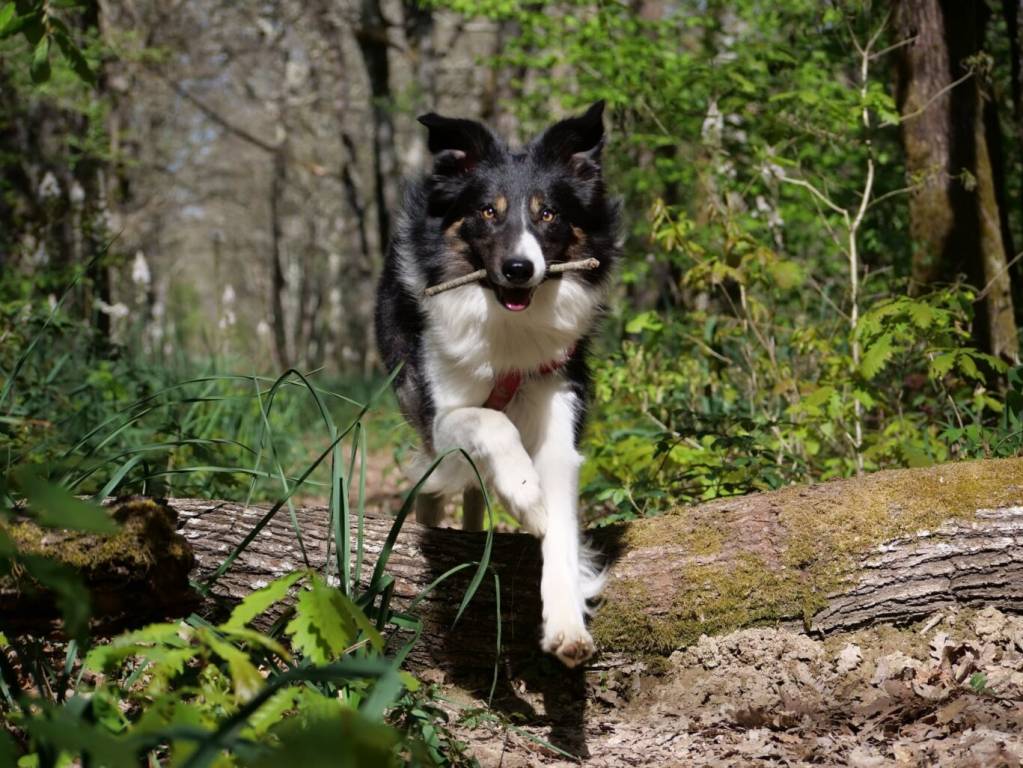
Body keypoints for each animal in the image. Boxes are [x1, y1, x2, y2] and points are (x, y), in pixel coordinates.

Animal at [374, 101, 620, 667]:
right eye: (488, 211)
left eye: (548, 214)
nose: (518, 268)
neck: (506, 323)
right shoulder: (440, 415)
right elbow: (488, 422)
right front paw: (526, 498)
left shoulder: (557, 404)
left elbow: (562, 526)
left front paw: (566, 621)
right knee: (435, 486)